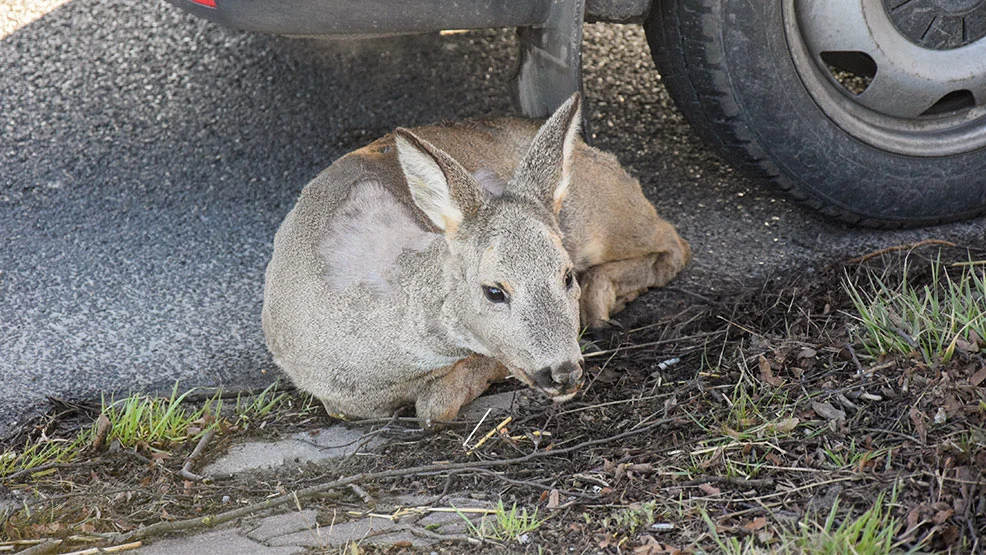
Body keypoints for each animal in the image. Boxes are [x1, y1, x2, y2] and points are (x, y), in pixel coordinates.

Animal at [264, 94, 692, 426]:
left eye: (566, 275)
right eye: (493, 291)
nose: (564, 372)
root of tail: (591, 151)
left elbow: (433, 408)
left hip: (601, 216)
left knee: (674, 243)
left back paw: (601, 306)